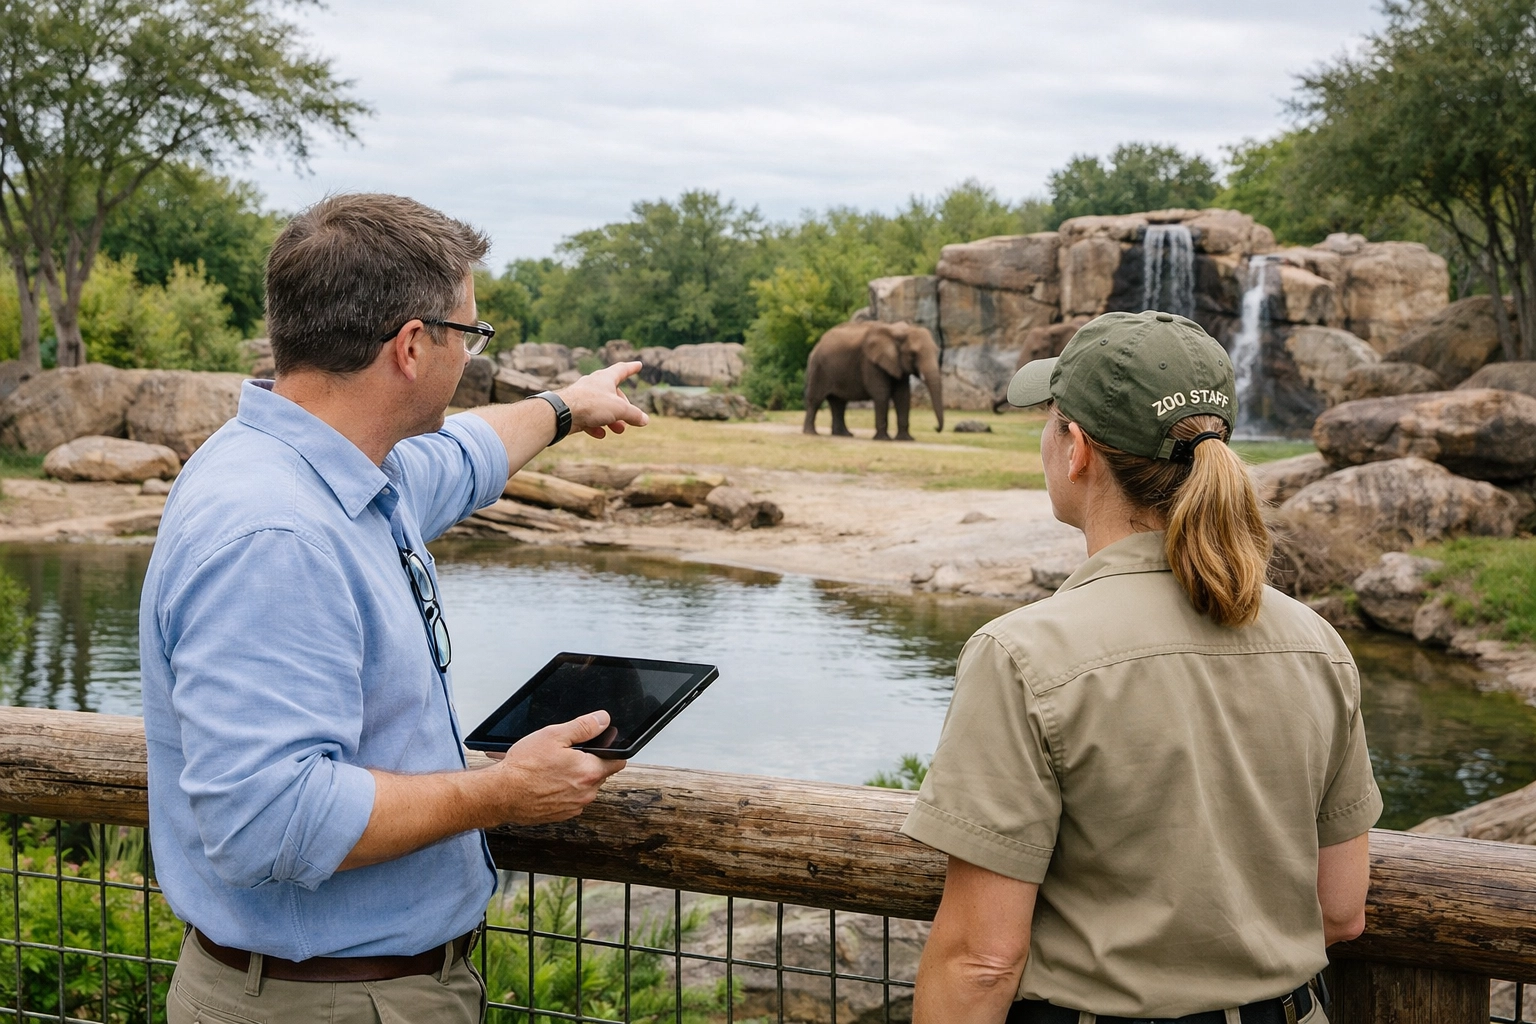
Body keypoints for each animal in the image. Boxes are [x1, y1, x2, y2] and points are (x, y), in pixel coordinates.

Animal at [802, 321, 944, 440]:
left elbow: (902, 396)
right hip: (818, 368)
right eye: (913, 354)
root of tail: (817, 344)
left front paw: (906, 439)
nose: (935, 428)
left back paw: (844, 435)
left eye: (936, 351)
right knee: (815, 400)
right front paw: (884, 439)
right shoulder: (870, 363)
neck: (897, 331)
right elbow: (881, 394)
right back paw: (811, 433)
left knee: (839, 403)